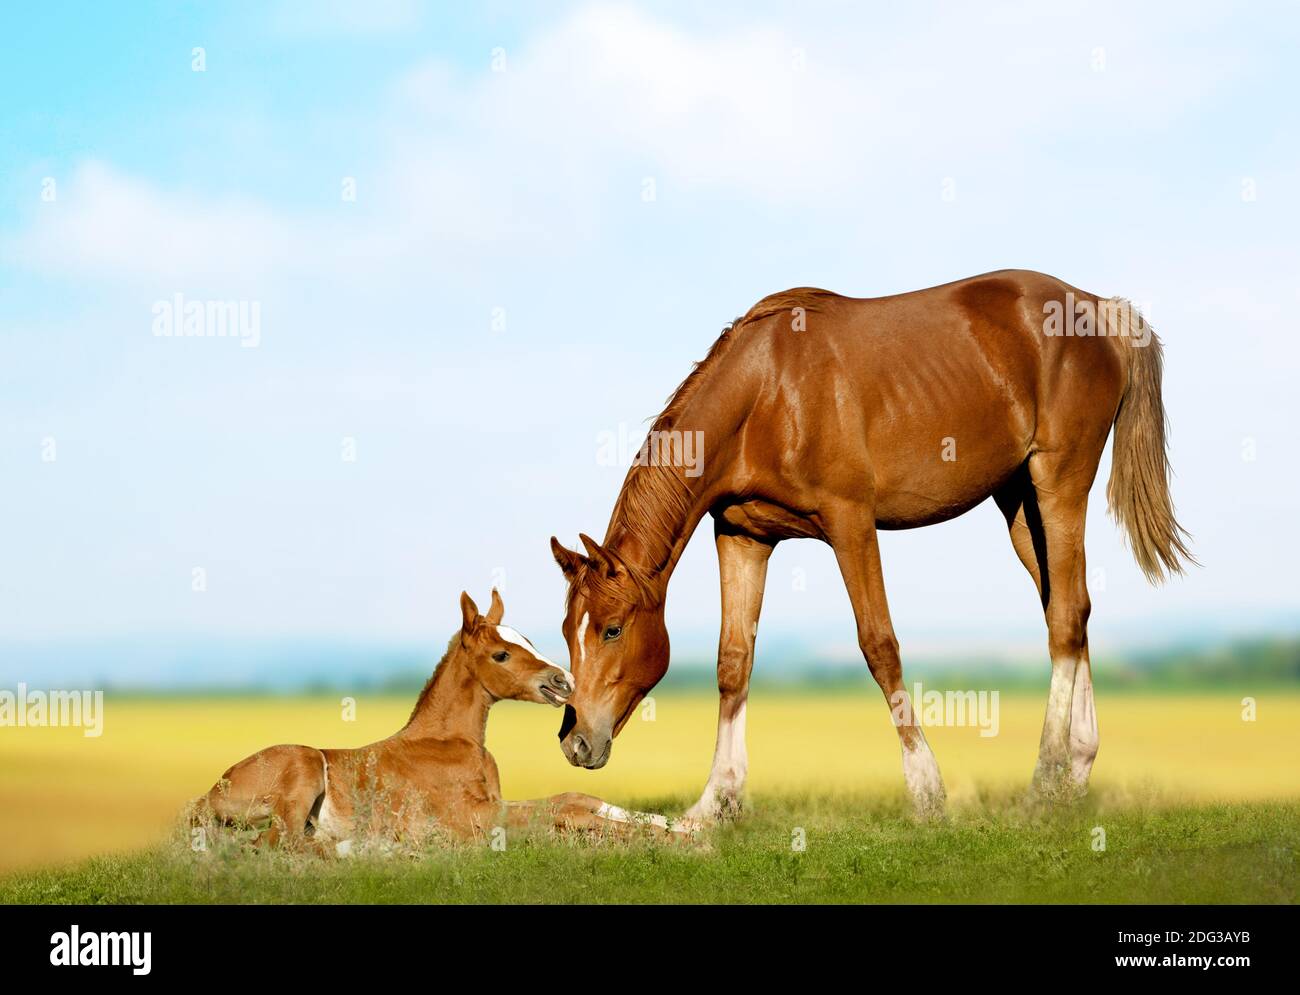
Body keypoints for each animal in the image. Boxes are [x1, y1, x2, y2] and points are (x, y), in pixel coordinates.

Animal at [195, 590, 683, 850]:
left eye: (526, 638)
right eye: (501, 654)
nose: (563, 680)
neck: (449, 744)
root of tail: (205, 798)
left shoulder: (496, 804)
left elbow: (576, 797)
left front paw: (684, 827)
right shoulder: (476, 818)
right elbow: (565, 809)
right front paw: (683, 841)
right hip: (303, 765)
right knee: (281, 844)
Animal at [549, 269, 1194, 821]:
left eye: (612, 629)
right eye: (566, 632)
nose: (576, 740)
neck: (767, 393)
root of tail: (1100, 308)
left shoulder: (850, 523)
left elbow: (879, 644)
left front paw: (926, 789)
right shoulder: (743, 536)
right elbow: (734, 661)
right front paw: (715, 800)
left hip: (1059, 481)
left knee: (1064, 617)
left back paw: (1045, 779)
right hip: (1019, 502)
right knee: (1072, 610)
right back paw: (1076, 771)